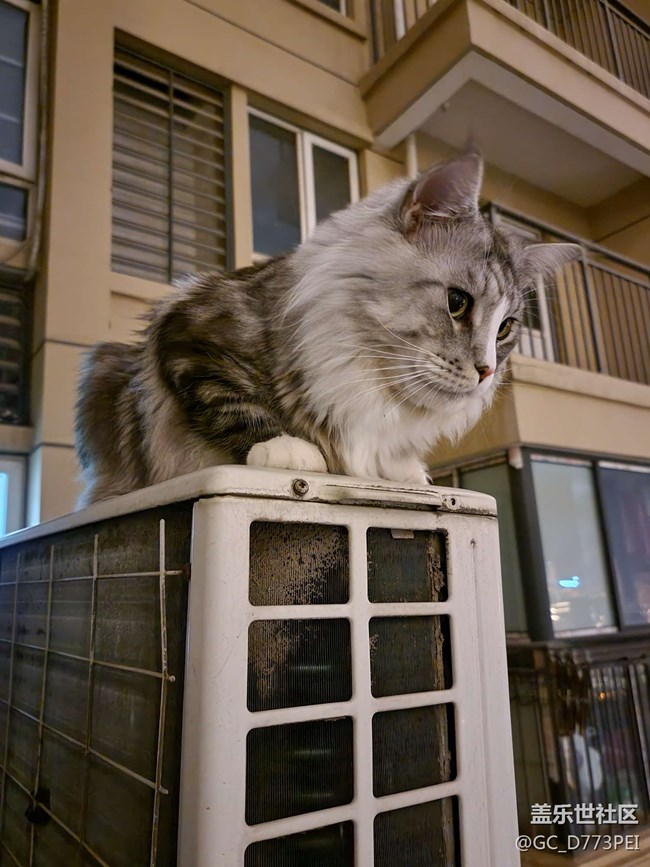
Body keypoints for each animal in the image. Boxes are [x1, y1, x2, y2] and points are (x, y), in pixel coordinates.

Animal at [75, 152, 580, 506]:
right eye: (458, 303)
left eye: (506, 329)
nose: (487, 371)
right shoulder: (189, 329)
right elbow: (231, 399)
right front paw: (287, 449)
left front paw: (404, 471)